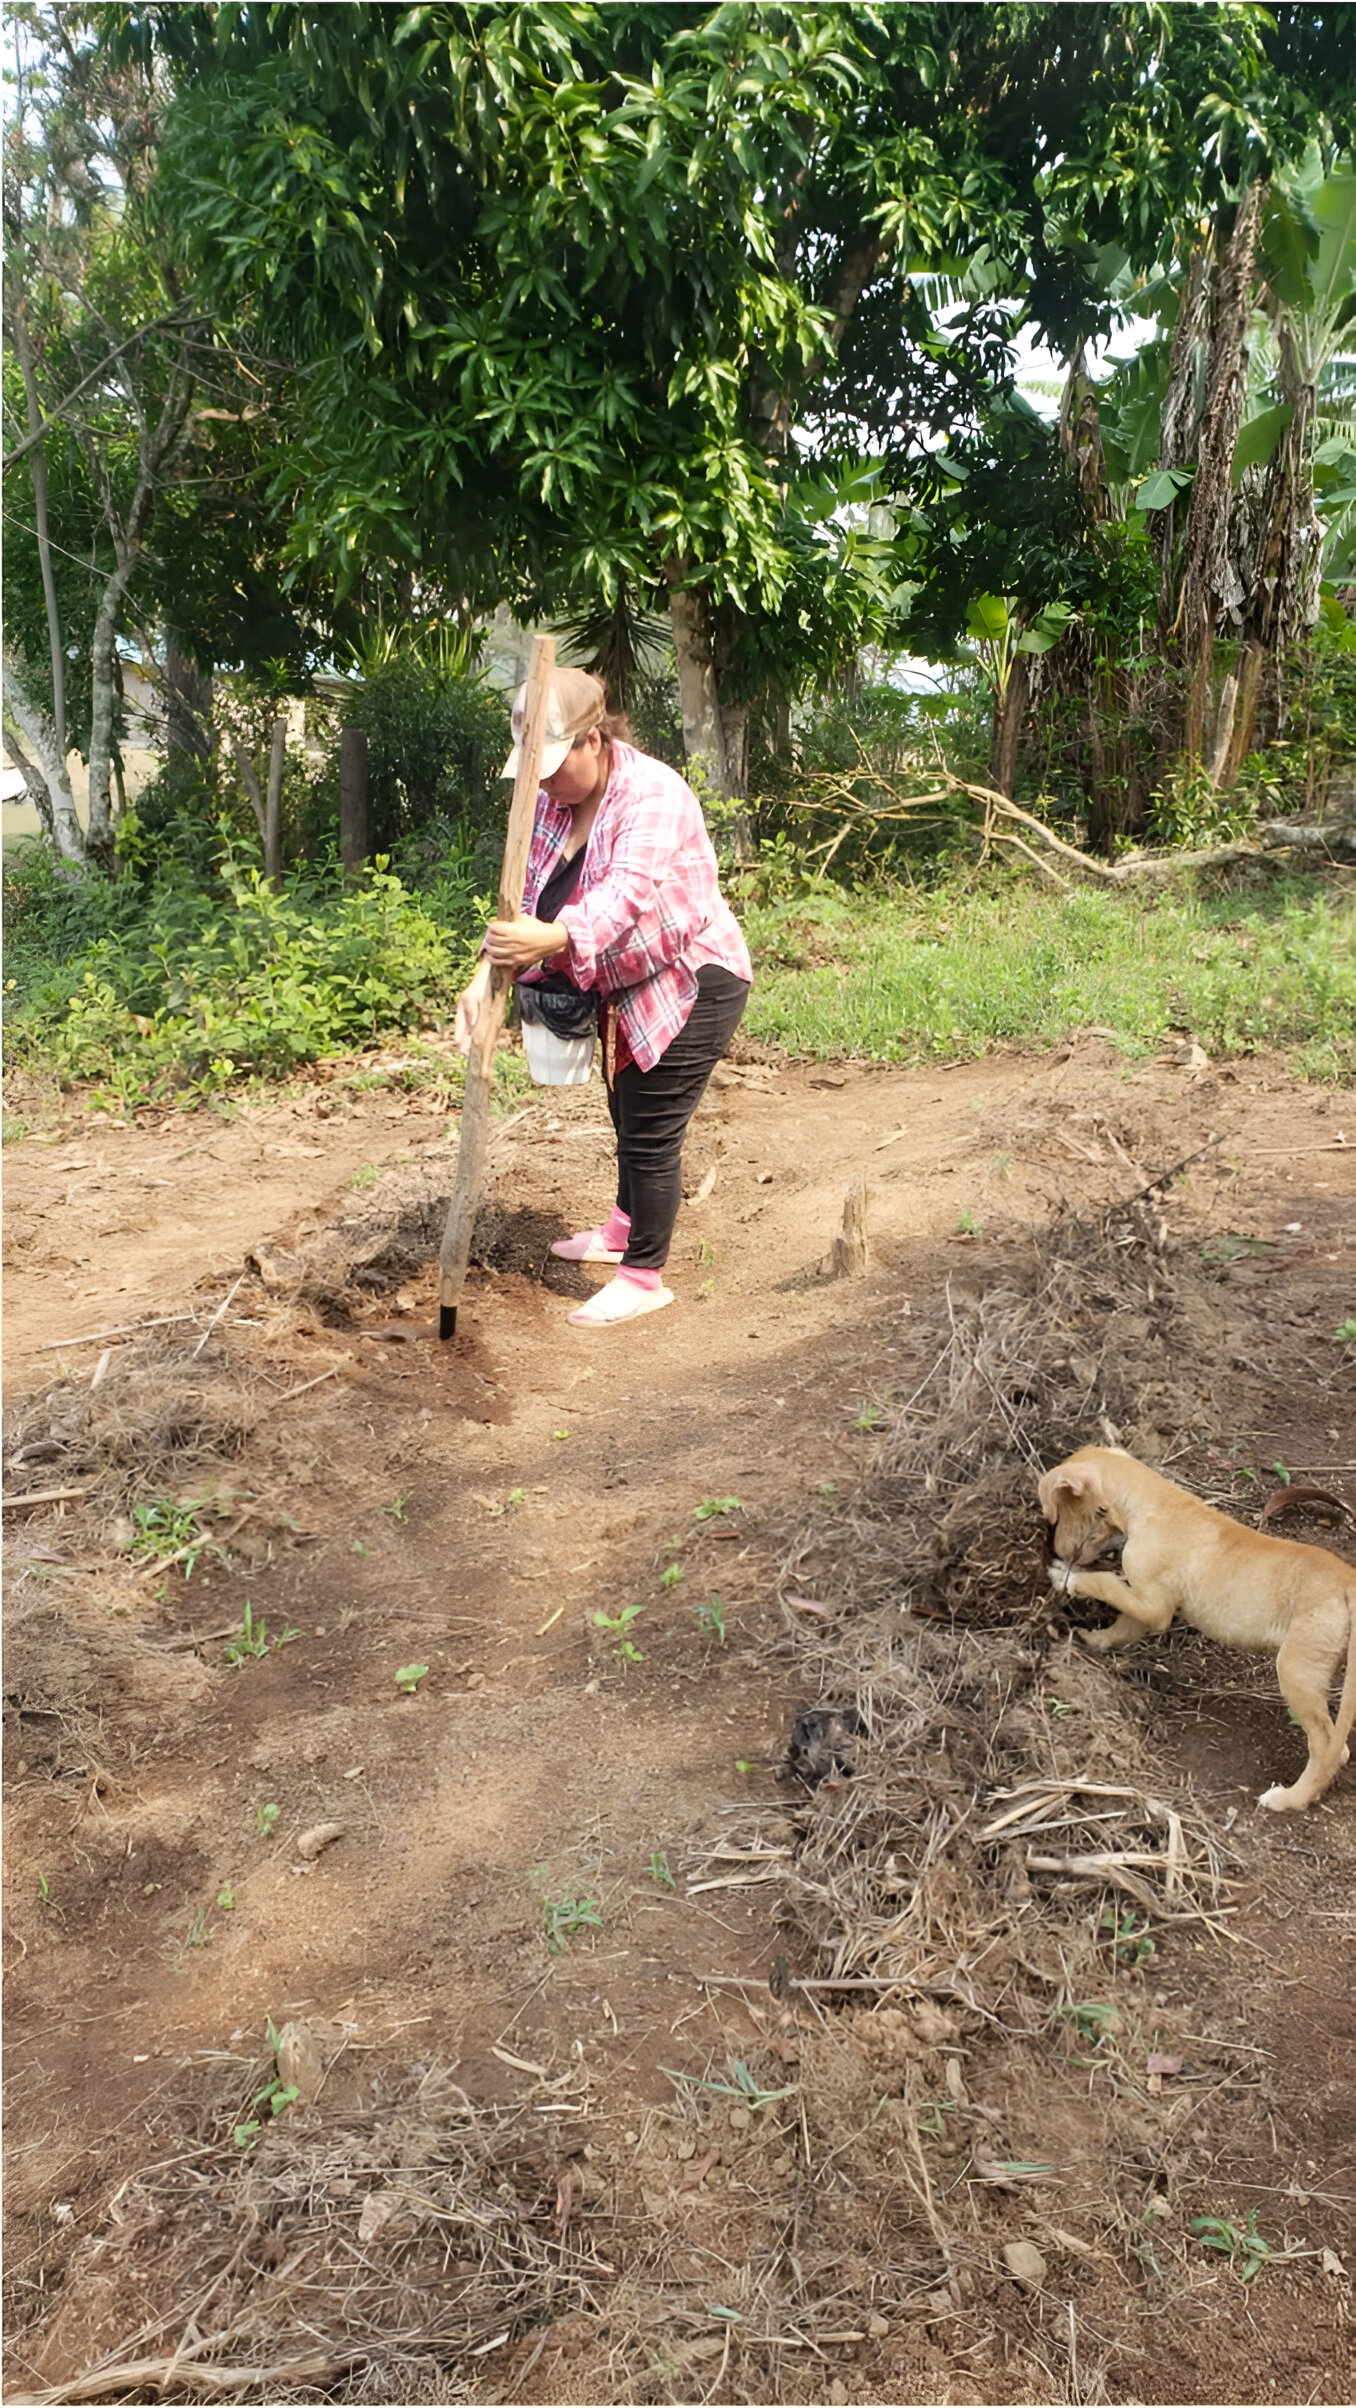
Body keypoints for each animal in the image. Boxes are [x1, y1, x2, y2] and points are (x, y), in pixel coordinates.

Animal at [1040, 1444, 1356, 1810]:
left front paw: (1067, 1578)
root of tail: (1347, 1582)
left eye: (1060, 1510)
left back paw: (1291, 1797)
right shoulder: (1145, 1604)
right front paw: (1094, 1639)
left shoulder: (1155, 1606)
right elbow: (1120, 1626)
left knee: (1324, 1745)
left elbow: (1105, 1582)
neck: (1149, 1500)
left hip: (1297, 1671)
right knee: (1339, 1746)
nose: (1057, 1549)